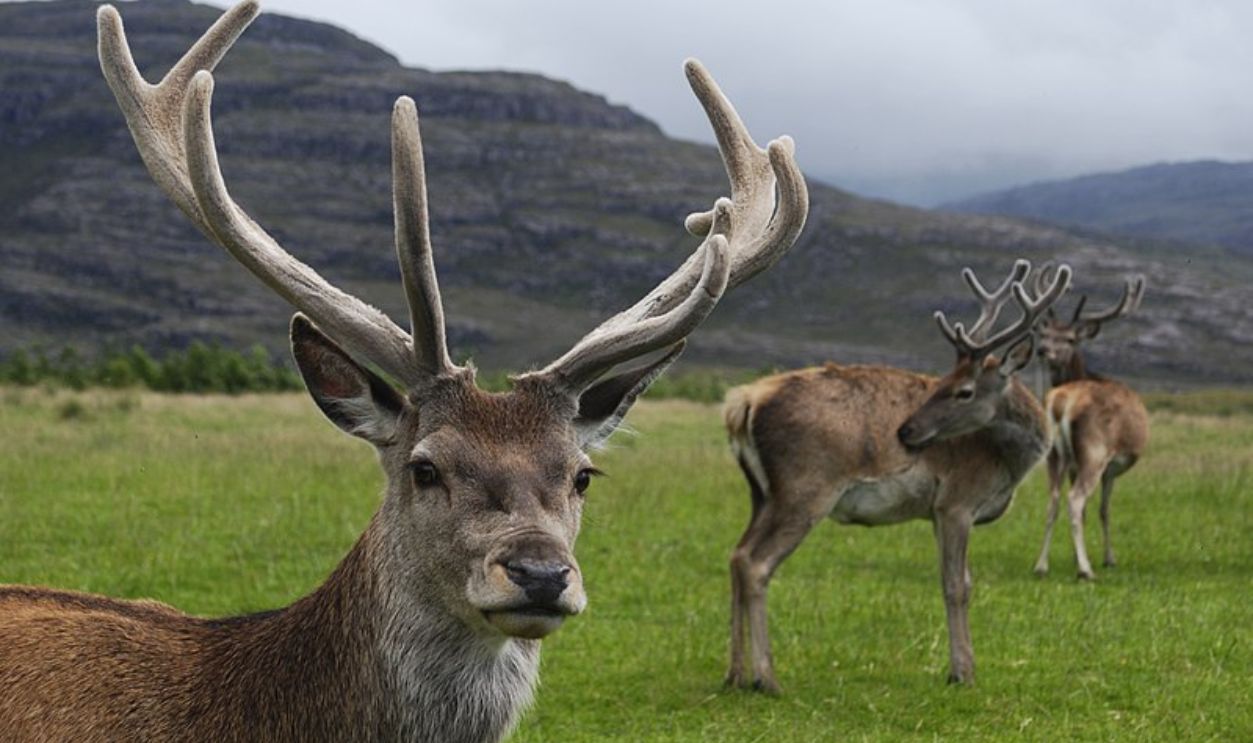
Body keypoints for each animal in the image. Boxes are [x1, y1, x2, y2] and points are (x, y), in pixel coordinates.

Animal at [721, 260, 1071, 692]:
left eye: (963, 390)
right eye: (942, 383)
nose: (905, 431)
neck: (1007, 463)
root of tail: (742, 403)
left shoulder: (937, 512)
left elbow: (961, 580)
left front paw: (962, 667)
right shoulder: (957, 501)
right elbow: (956, 585)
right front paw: (962, 672)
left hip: (761, 493)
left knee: (737, 555)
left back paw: (735, 674)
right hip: (804, 488)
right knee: (756, 563)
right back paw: (766, 678)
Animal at [1030, 269, 1149, 580]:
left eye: (1070, 338)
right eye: (1045, 334)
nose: (1042, 350)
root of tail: (1062, 401)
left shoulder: (1074, 465)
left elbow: (1088, 513)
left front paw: (1075, 556)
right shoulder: (1110, 467)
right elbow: (1104, 510)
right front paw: (1108, 558)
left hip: (1054, 455)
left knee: (1053, 501)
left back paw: (1041, 565)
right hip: (1094, 451)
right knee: (1074, 500)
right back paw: (1086, 570)